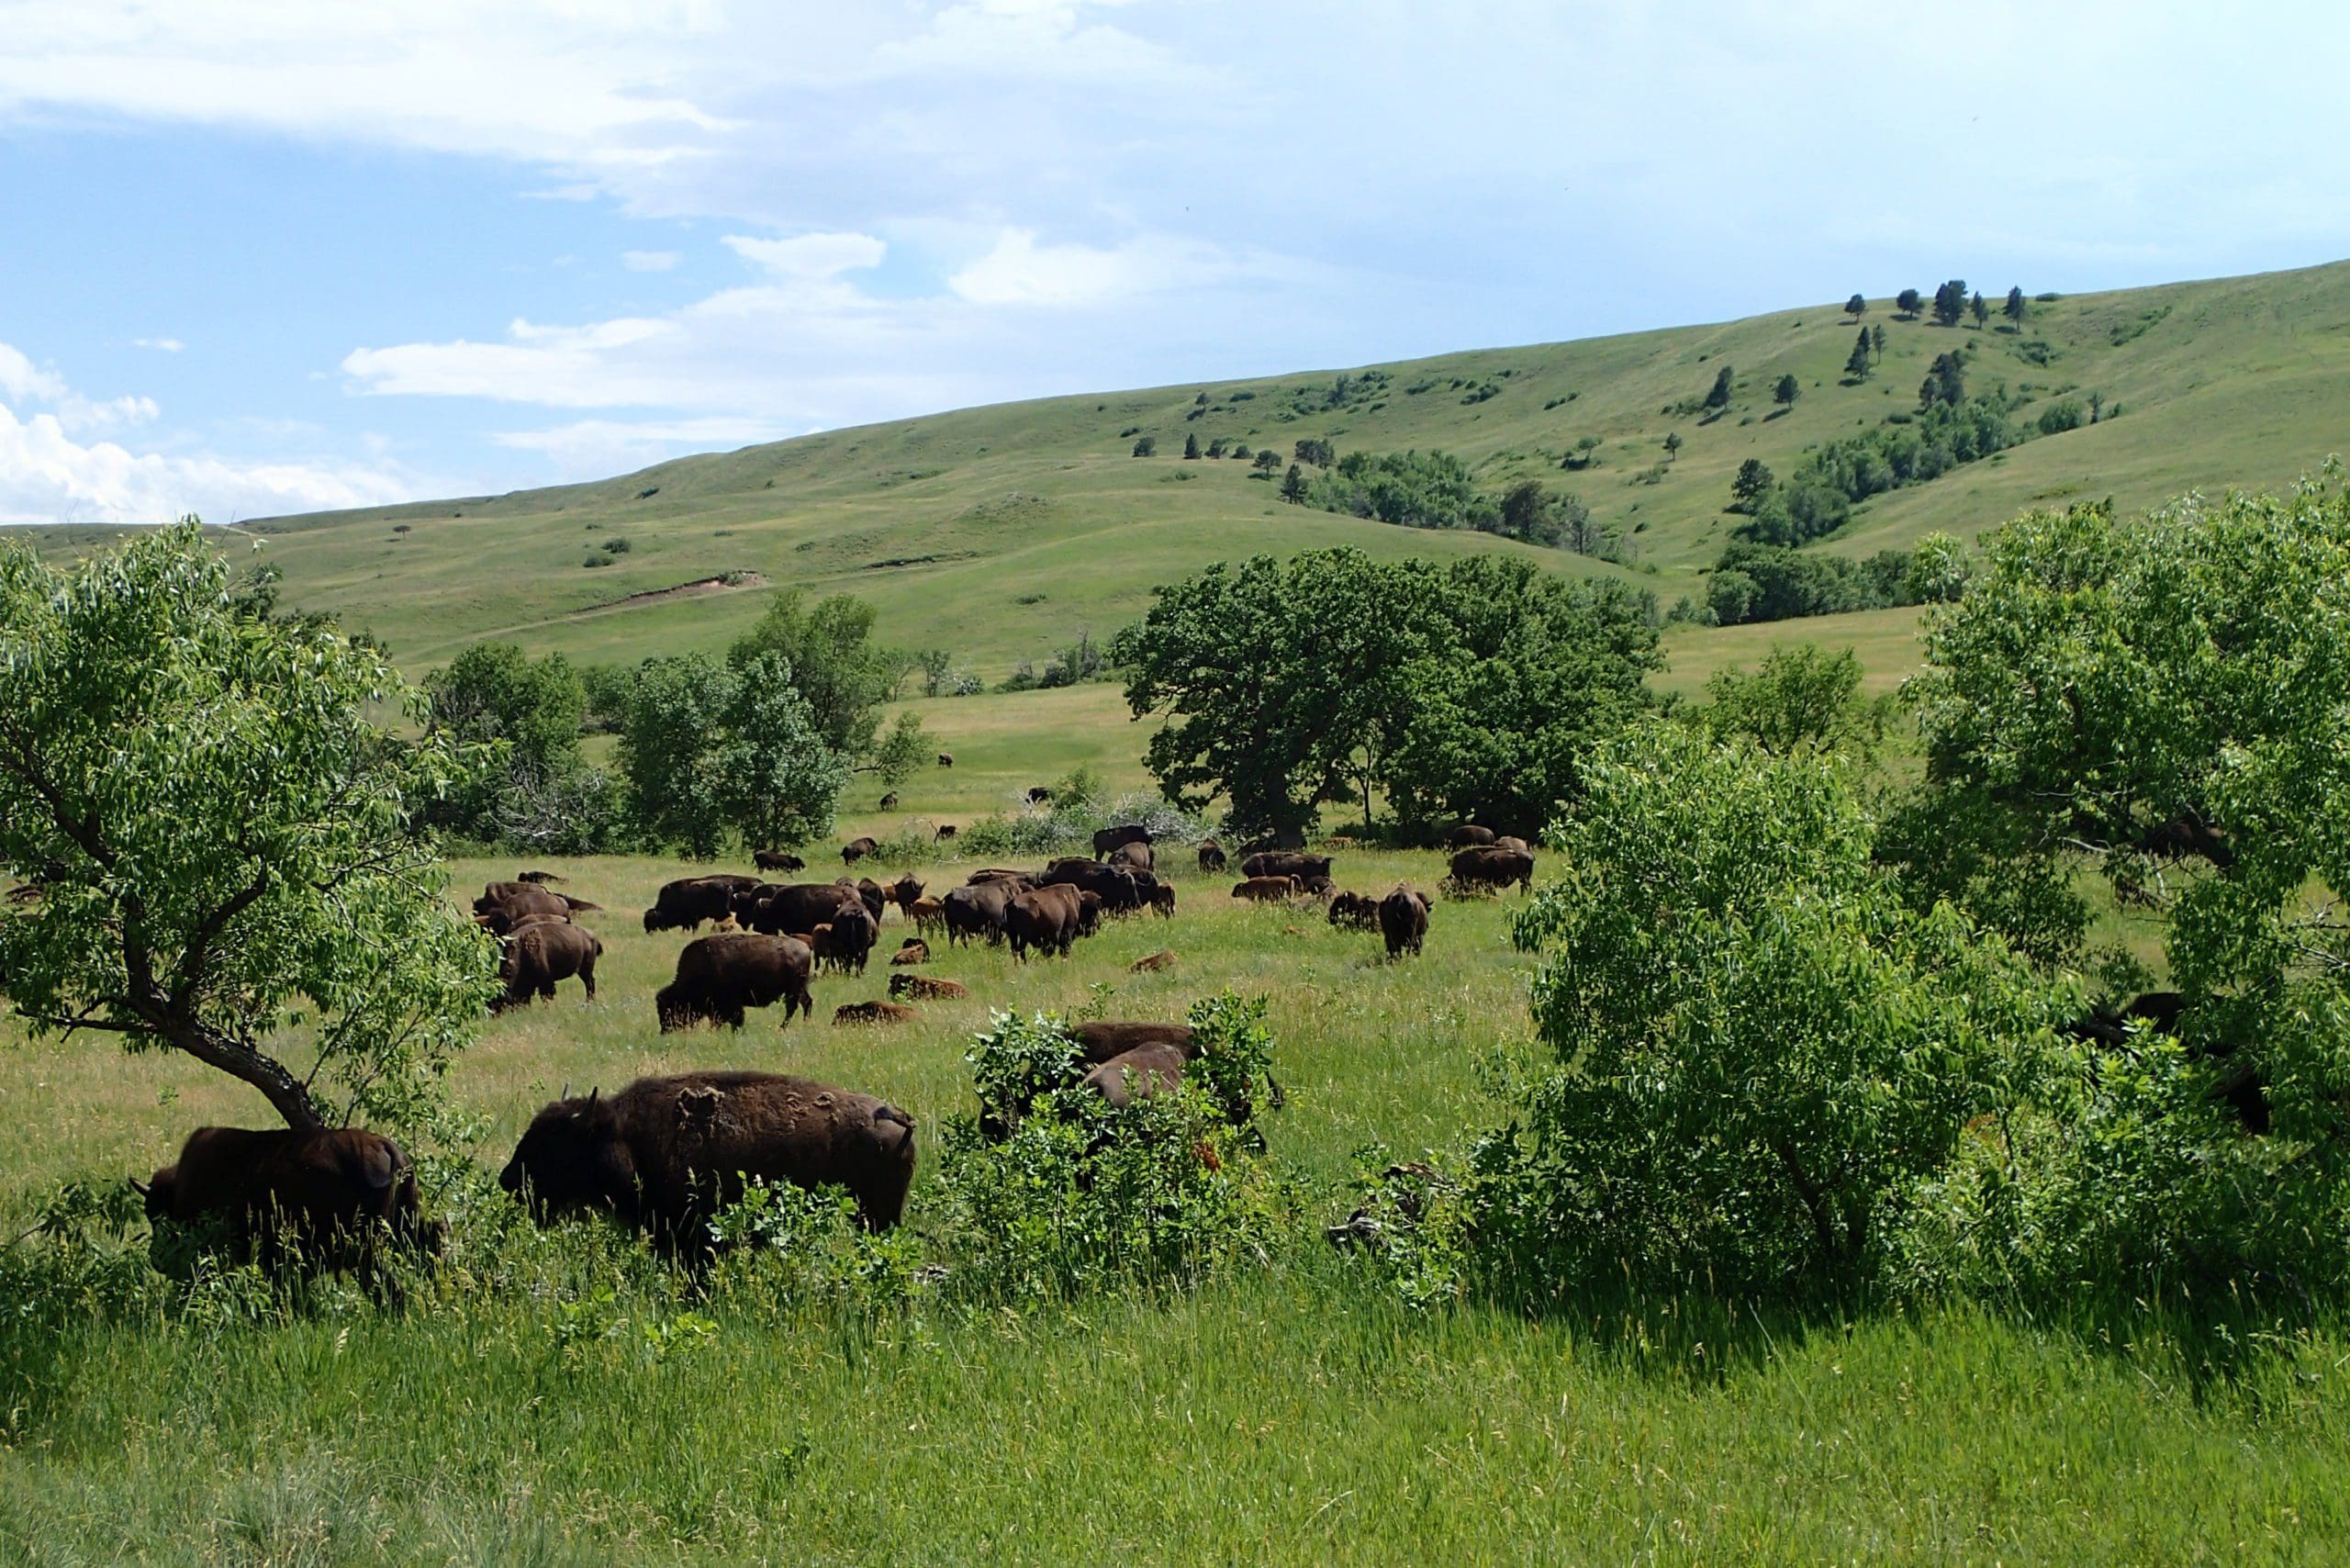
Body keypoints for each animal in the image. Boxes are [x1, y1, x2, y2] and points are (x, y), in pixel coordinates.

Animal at [656, 933, 814, 1031]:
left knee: (792, 1008)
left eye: (669, 1009)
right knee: (806, 1002)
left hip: (793, 990)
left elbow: (733, 1018)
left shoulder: (728, 1004)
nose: (665, 1030)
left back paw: (782, 1028)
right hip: (799, 989)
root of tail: (805, 948)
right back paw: (804, 1024)